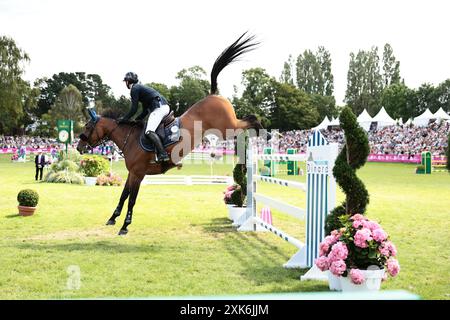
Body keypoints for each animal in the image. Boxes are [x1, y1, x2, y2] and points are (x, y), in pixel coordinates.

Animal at [75, 33, 262, 235]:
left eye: (87, 126)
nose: (79, 147)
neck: (129, 139)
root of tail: (213, 95)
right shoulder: (132, 173)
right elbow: (124, 195)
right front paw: (113, 218)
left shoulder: (138, 173)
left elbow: (132, 199)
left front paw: (125, 226)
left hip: (227, 127)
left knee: (250, 120)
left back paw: (261, 134)